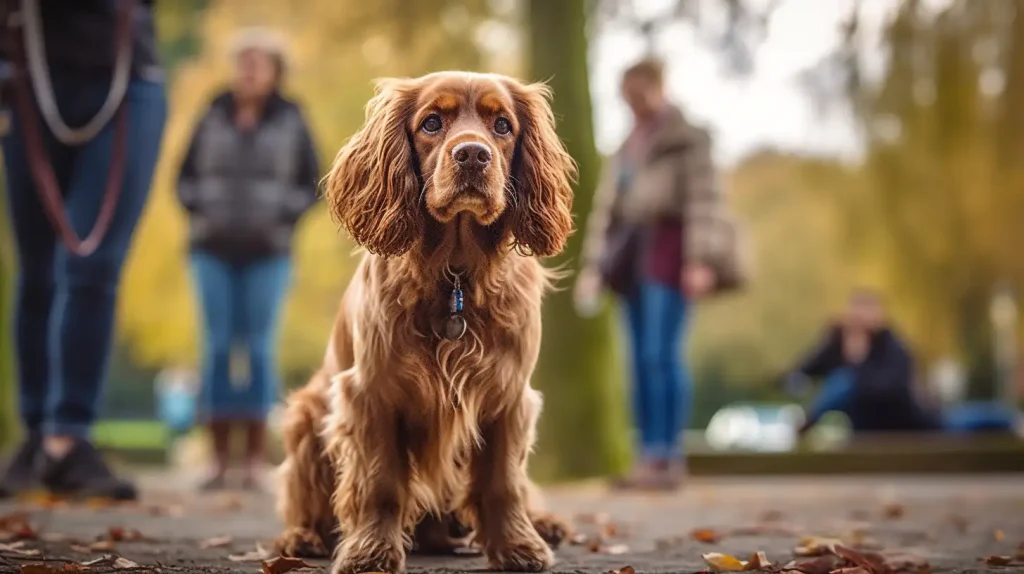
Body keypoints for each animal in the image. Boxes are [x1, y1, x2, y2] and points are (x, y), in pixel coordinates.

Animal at [272, 72, 577, 572]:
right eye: (432, 123)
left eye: (502, 125)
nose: (472, 154)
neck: (455, 274)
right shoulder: (371, 395)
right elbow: (380, 484)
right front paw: (370, 552)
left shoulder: (510, 396)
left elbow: (503, 482)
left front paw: (518, 546)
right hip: (307, 414)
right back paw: (301, 538)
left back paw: (541, 525)